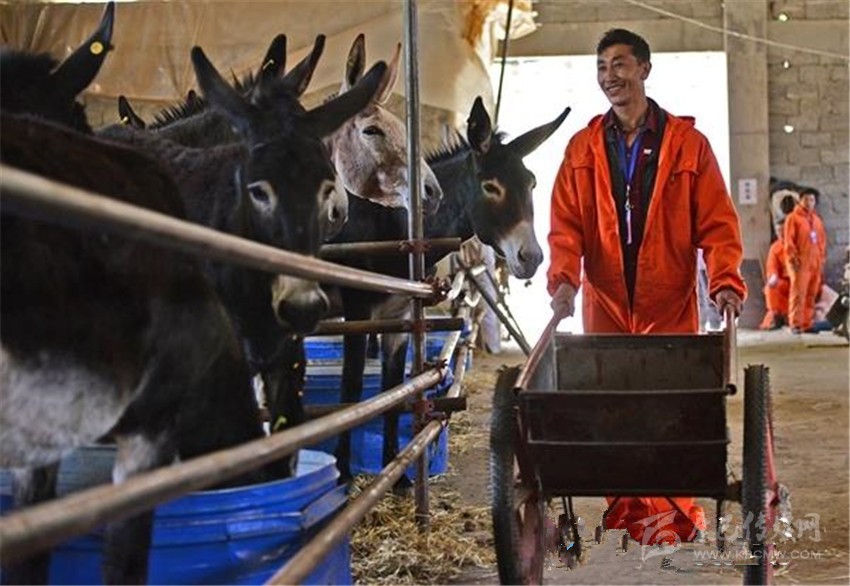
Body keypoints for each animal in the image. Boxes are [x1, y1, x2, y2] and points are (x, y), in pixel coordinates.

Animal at [330, 96, 570, 489]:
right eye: (490, 187)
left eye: (532, 183)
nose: (531, 258)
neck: (395, 225)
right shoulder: (357, 311)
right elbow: (350, 391)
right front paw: (344, 475)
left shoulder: (400, 317)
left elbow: (393, 391)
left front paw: (397, 475)